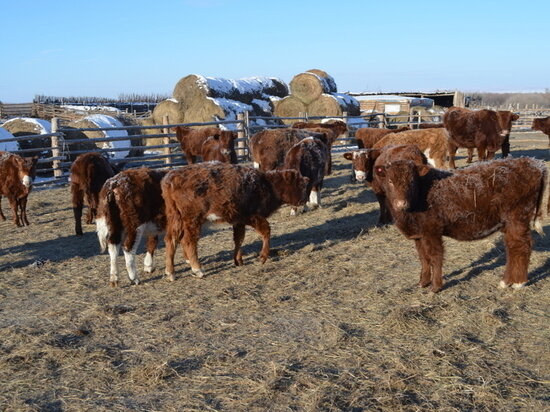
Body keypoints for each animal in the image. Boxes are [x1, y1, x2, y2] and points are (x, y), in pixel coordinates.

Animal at [163, 163, 310, 278]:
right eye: (299, 184)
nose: (305, 199)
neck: (267, 184)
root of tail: (171, 178)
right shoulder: (252, 217)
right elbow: (266, 231)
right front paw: (262, 257)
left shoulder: (238, 221)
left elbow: (239, 239)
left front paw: (238, 261)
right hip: (193, 220)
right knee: (188, 241)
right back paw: (198, 270)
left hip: (175, 219)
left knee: (171, 240)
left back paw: (171, 273)